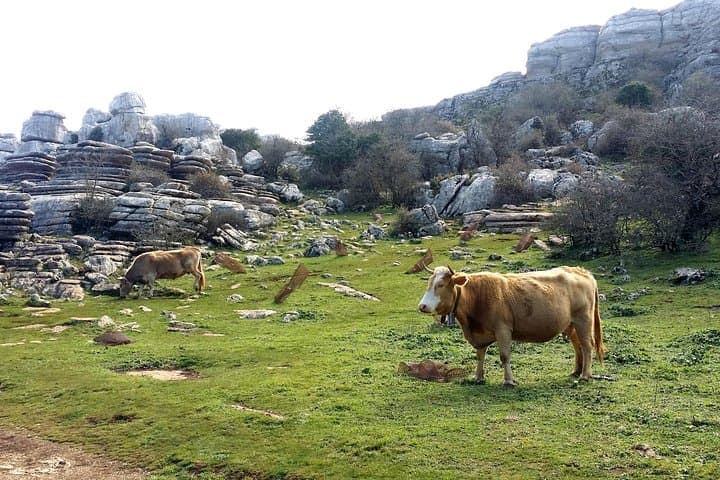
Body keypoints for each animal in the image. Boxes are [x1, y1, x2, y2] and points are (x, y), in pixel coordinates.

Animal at [418, 265, 604, 386]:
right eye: (429, 284)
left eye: (440, 285)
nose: (422, 306)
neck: (477, 296)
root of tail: (582, 271)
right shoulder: (480, 334)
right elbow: (480, 356)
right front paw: (478, 377)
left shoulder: (503, 330)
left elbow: (504, 356)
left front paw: (508, 380)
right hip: (572, 324)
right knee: (578, 347)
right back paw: (577, 371)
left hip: (583, 320)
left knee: (587, 346)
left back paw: (585, 376)